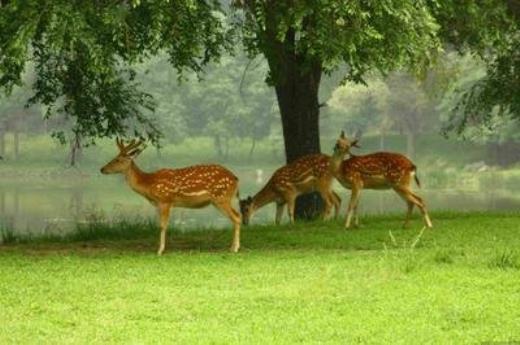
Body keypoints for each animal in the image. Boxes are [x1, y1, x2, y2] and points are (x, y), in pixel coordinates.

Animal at [99, 138, 242, 254]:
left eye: (117, 160)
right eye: (114, 157)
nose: (102, 169)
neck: (148, 184)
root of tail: (235, 178)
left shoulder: (165, 200)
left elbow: (163, 225)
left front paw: (160, 250)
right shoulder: (159, 203)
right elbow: (161, 225)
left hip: (221, 197)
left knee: (237, 217)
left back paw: (235, 249)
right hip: (220, 199)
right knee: (237, 216)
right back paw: (232, 247)